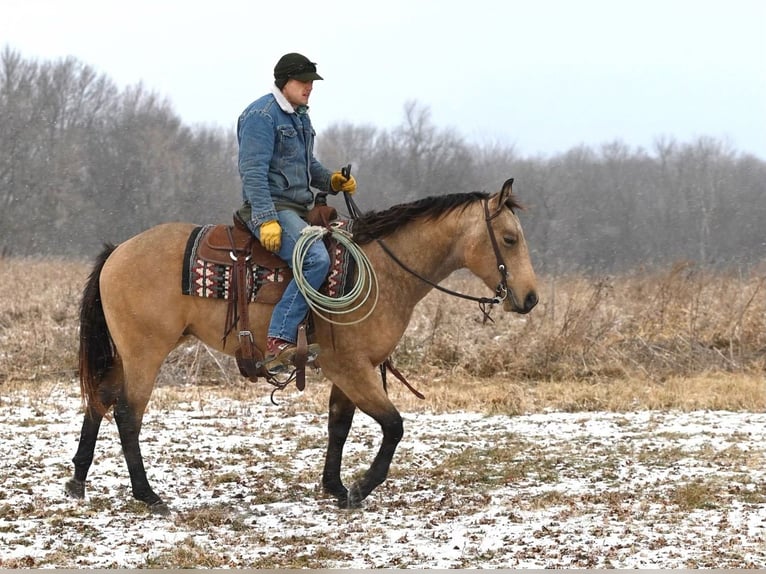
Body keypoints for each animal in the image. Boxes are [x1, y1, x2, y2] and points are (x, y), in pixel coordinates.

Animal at [64, 178, 540, 516]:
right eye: (510, 239)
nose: (531, 298)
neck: (382, 272)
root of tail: (117, 251)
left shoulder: (349, 369)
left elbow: (339, 425)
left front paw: (335, 487)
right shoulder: (351, 367)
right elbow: (393, 426)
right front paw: (361, 488)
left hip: (126, 354)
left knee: (100, 400)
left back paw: (78, 481)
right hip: (145, 352)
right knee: (127, 414)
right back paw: (148, 496)